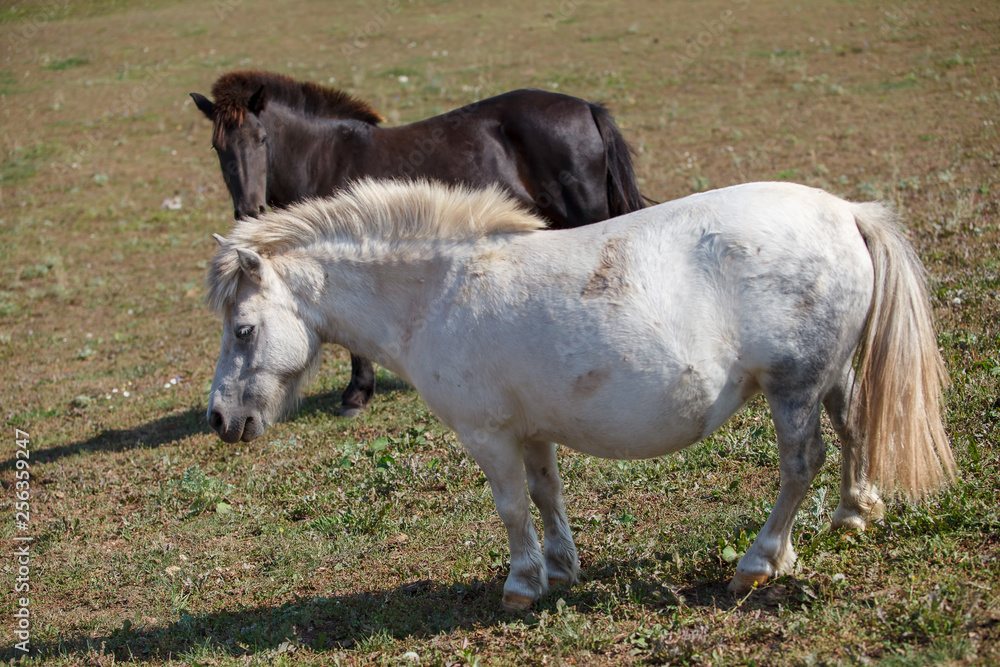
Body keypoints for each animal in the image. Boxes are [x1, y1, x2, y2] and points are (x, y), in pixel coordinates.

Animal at [191, 69, 645, 417]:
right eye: (218, 147)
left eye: (261, 139)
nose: (249, 209)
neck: (324, 159)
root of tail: (587, 108)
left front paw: (356, 396)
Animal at [205, 179, 954, 611]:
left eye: (243, 329)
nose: (220, 417)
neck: (441, 290)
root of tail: (846, 212)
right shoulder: (531, 430)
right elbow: (546, 495)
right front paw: (562, 567)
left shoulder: (489, 435)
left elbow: (511, 508)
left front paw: (522, 583)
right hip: (827, 376)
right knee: (854, 428)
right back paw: (853, 514)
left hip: (792, 386)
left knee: (801, 464)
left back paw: (759, 561)